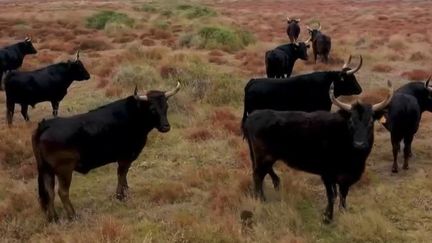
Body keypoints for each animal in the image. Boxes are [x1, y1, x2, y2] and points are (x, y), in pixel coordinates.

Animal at [245, 81, 394, 222]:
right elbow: (331, 196)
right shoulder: (327, 174)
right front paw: (327, 217)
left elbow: (343, 195)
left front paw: (343, 213)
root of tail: (253, 116)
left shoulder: (346, 178)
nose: (360, 144)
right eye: (351, 121)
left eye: (371, 122)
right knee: (258, 176)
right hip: (264, 157)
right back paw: (261, 199)